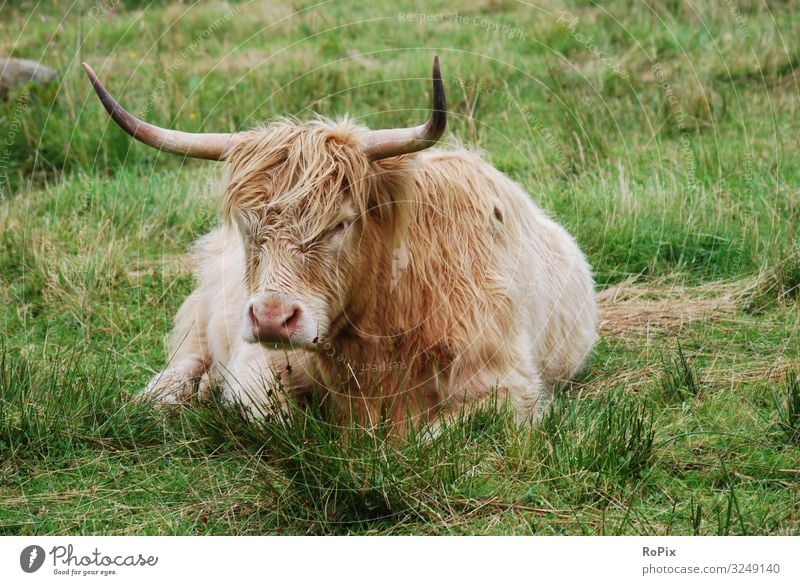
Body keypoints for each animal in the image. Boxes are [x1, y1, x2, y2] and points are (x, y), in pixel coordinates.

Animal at [86, 57, 592, 428]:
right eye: (247, 226)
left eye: (341, 224)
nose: (272, 319)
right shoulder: (257, 368)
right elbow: (279, 419)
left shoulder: (510, 388)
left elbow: (432, 435)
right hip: (203, 315)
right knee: (181, 366)